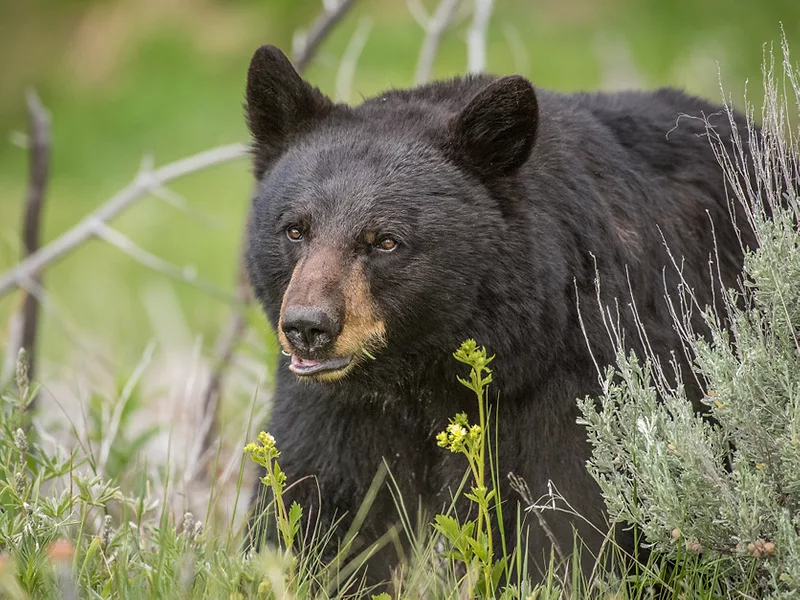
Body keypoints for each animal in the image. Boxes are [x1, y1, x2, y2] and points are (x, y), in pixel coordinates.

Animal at [242, 44, 756, 586]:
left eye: (385, 240)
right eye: (295, 229)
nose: (308, 327)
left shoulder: (576, 376)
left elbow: (570, 516)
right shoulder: (338, 409)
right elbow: (320, 503)